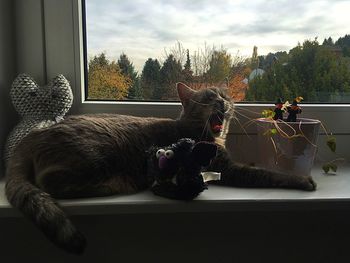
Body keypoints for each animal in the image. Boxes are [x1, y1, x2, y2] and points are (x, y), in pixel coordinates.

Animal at [4, 83, 318, 256]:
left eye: (225, 97)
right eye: (208, 98)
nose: (223, 102)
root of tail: (31, 137)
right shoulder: (227, 168)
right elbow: (267, 173)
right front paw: (303, 180)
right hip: (93, 155)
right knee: (51, 181)